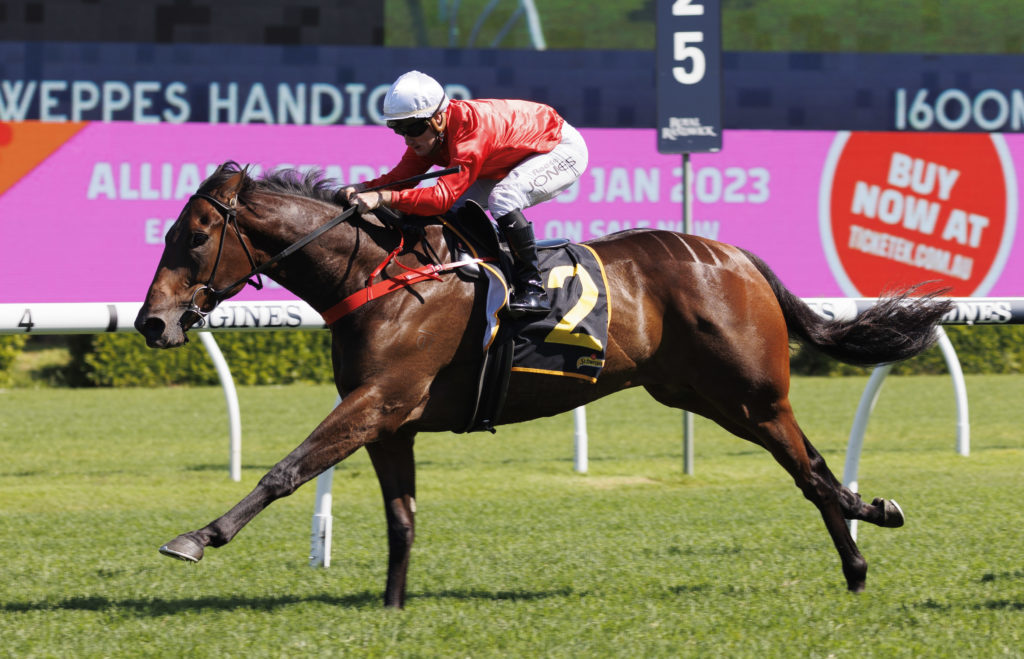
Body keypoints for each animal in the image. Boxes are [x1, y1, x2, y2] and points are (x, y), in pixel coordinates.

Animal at [135, 161, 952, 608]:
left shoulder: (376, 402)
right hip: (707, 395)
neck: (383, 275)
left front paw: (197, 537)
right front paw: (392, 608)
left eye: (195, 237)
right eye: (169, 233)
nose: (152, 321)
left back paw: (859, 555)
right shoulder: (390, 420)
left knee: (810, 473)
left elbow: (286, 469)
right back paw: (870, 522)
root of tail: (736, 256)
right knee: (813, 465)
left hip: (748, 394)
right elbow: (401, 517)